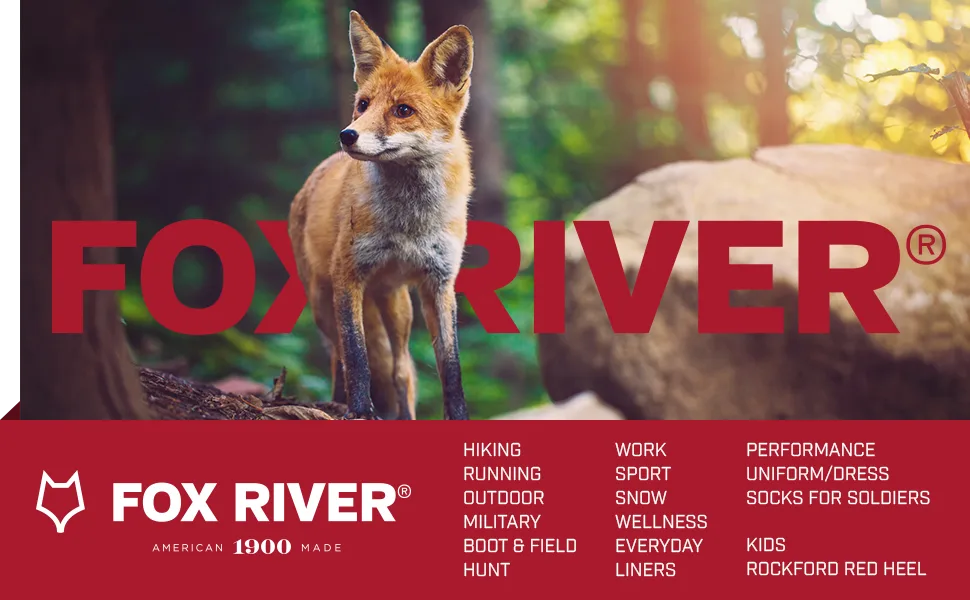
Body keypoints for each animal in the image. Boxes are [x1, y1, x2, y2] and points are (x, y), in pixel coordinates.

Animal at [288, 10, 473, 420]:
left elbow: (451, 365)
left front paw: (459, 416)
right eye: (363, 104)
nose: (347, 135)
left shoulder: (440, 282)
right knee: (339, 358)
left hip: (400, 309)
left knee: (401, 369)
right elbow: (356, 356)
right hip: (321, 303)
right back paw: (338, 401)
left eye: (402, 110)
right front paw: (359, 410)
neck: (409, 222)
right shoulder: (347, 275)